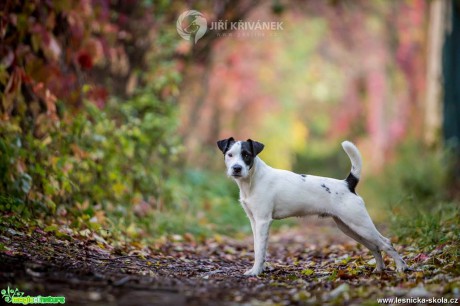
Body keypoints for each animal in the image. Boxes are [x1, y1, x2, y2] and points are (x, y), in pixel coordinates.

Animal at [217, 137, 408, 276]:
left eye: (247, 154)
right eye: (230, 154)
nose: (236, 168)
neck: (254, 180)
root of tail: (347, 184)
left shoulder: (263, 221)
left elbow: (260, 251)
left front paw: (256, 272)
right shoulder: (254, 221)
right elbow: (257, 247)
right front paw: (257, 269)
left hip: (360, 224)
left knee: (386, 242)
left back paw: (401, 267)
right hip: (349, 228)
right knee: (375, 246)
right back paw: (379, 269)